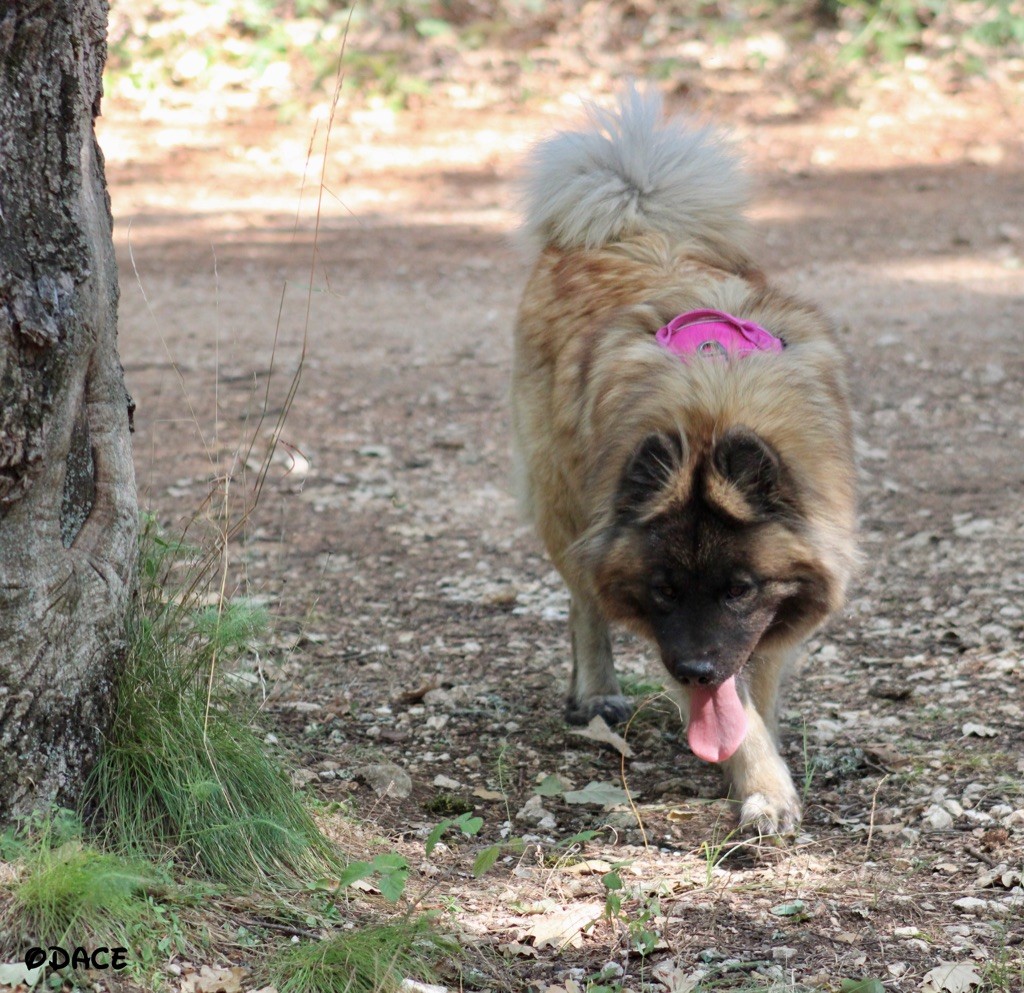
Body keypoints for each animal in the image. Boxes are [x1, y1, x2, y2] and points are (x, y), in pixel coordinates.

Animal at [509, 89, 856, 831]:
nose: (696, 670)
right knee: (584, 600)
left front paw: (757, 764)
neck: (712, 412)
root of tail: (633, 216)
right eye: (665, 588)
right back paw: (596, 692)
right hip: (561, 496)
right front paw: (763, 785)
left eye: (740, 589)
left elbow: (756, 687)